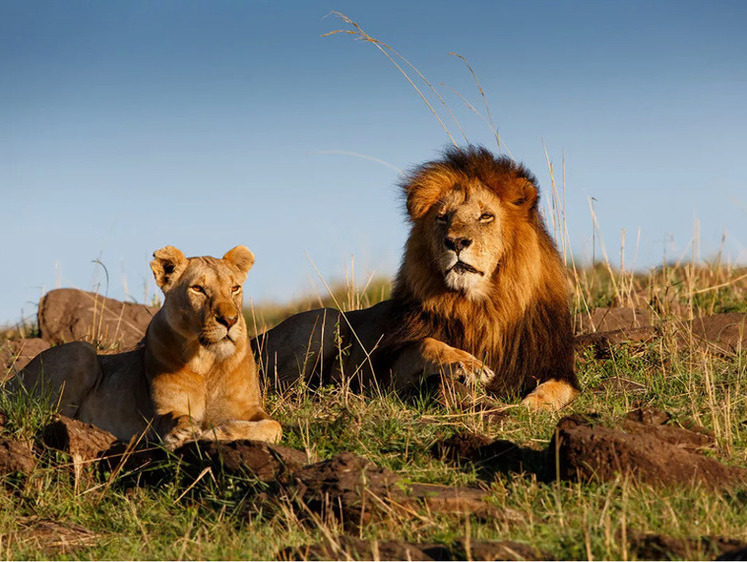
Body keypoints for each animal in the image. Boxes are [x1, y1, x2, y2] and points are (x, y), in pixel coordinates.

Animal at [13, 245, 282, 446]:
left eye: (235, 288)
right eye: (198, 289)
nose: (229, 320)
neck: (207, 360)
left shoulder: (249, 409)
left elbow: (274, 425)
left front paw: (217, 433)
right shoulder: (164, 409)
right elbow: (171, 417)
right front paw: (181, 432)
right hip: (81, 350)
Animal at [256, 147, 580, 410]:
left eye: (486, 216)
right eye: (443, 217)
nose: (456, 242)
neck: (482, 307)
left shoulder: (553, 365)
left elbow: (559, 389)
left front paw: (532, 405)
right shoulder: (388, 373)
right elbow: (427, 343)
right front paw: (469, 365)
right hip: (326, 318)